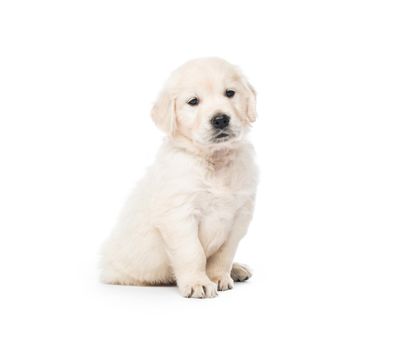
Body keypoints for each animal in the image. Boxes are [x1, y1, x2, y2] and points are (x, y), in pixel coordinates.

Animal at [100, 57, 256, 298]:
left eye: (230, 93)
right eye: (193, 101)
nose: (220, 119)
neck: (214, 160)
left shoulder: (240, 215)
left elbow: (224, 254)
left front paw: (219, 277)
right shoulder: (179, 214)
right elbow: (193, 253)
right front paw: (198, 283)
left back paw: (237, 269)